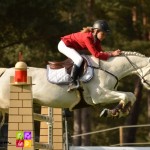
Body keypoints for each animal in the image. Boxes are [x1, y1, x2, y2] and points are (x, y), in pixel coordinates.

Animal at [0, 51, 149, 119]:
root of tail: (5, 72)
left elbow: (130, 96)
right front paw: (112, 112)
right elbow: (126, 95)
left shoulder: (105, 95)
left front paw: (121, 111)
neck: (109, 68)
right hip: (7, 105)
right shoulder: (100, 96)